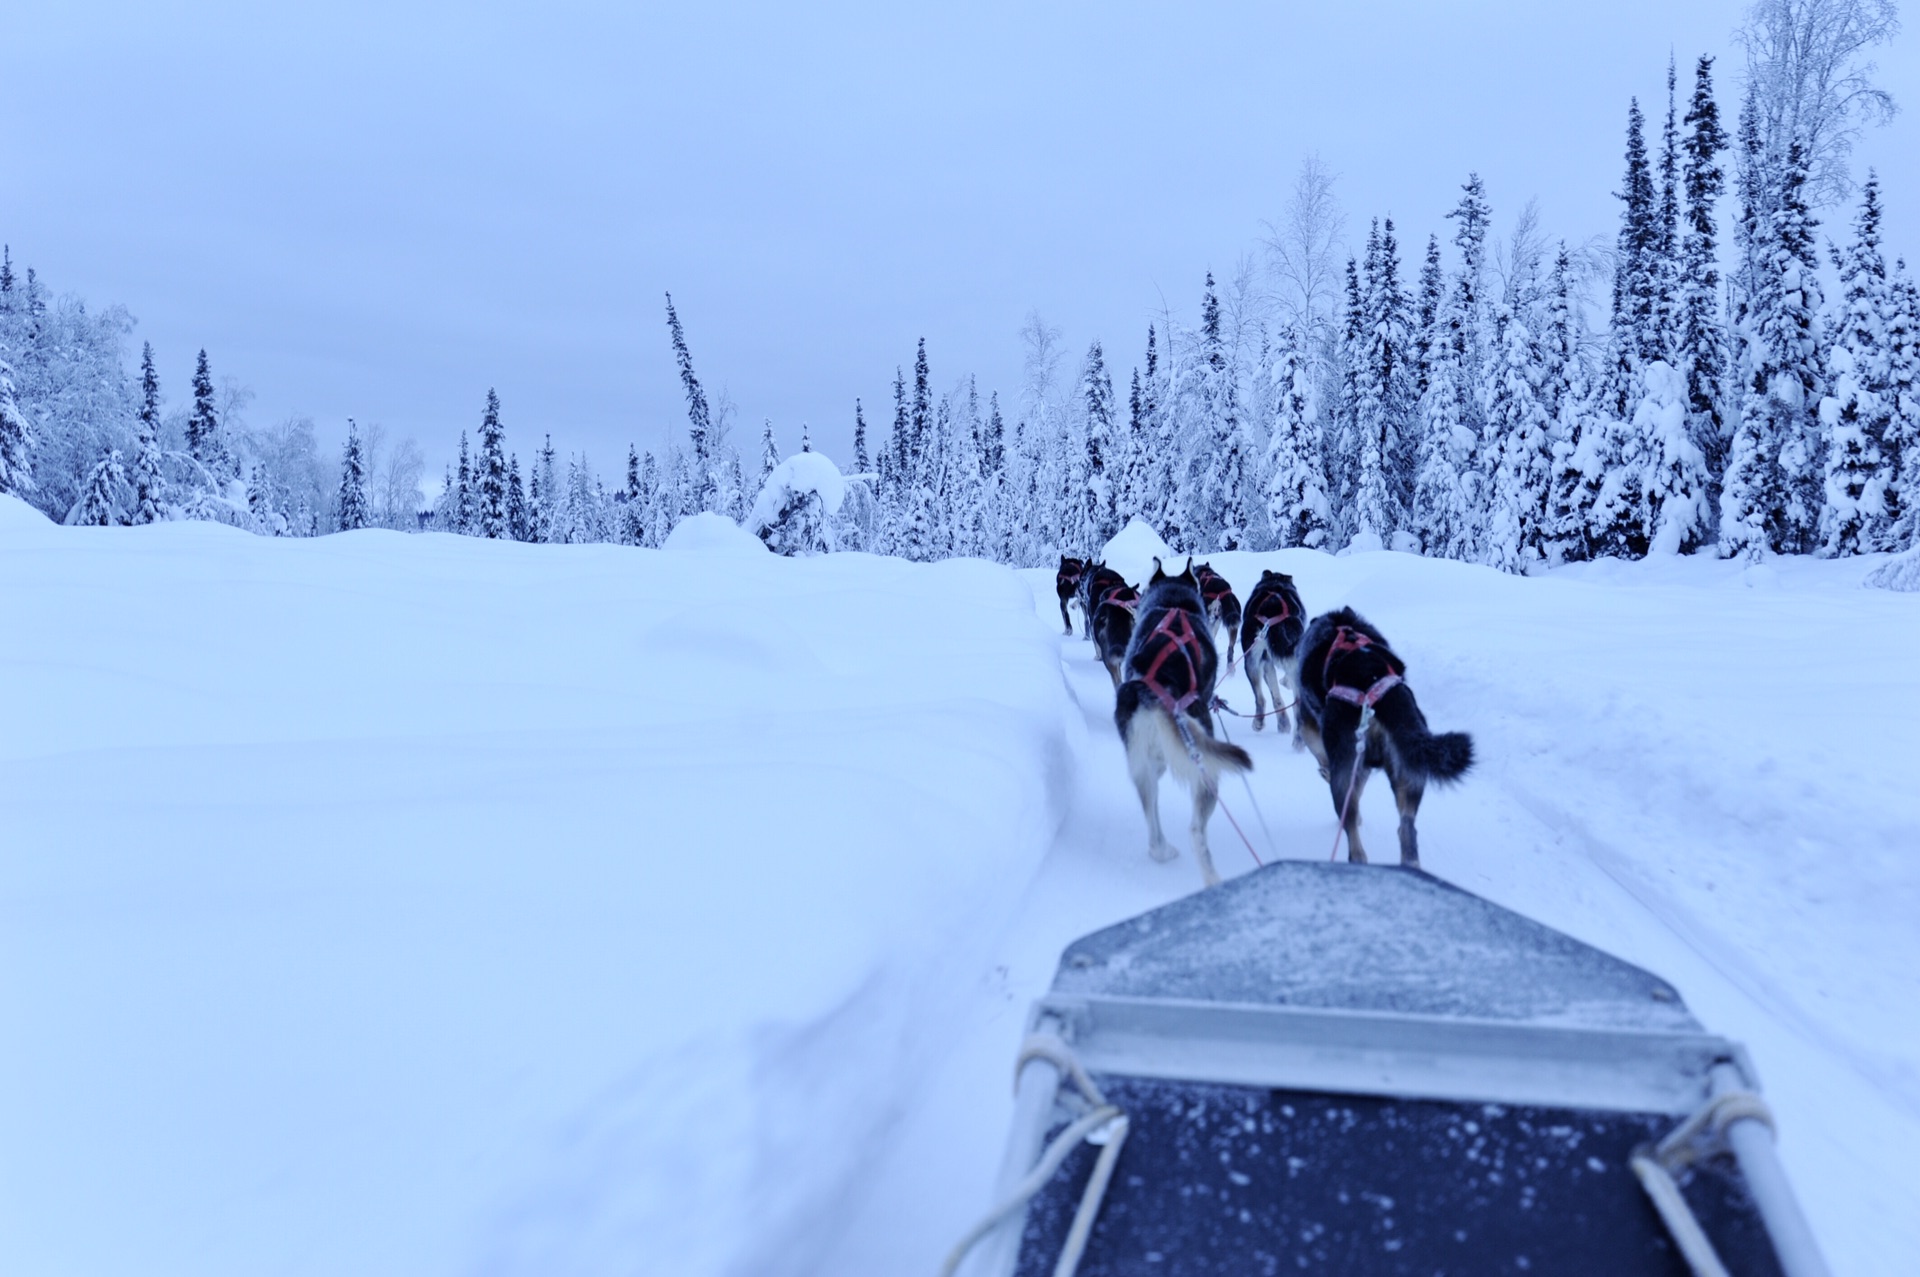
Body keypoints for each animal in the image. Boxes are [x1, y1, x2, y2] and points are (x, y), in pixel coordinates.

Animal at [1113, 556, 1259, 887]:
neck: (1173, 603)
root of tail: (1156, 693)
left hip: (1145, 766)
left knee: (1152, 824)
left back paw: (1163, 851)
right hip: (1206, 767)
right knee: (1196, 832)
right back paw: (1212, 878)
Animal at [1244, 568, 1305, 737]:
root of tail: (1271, 610)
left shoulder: (1266, 662)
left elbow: (1275, 695)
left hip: (1251, 660)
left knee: (1262, 698)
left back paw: (1263, 723)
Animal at [1297, 606, 1474, 867]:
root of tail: (1369, 686)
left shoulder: (1309, 726)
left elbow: (1318, 752)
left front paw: (1323, 770)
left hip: (1346, 769)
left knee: (1353, 832)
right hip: (1409, 768)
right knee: (1406, 828)